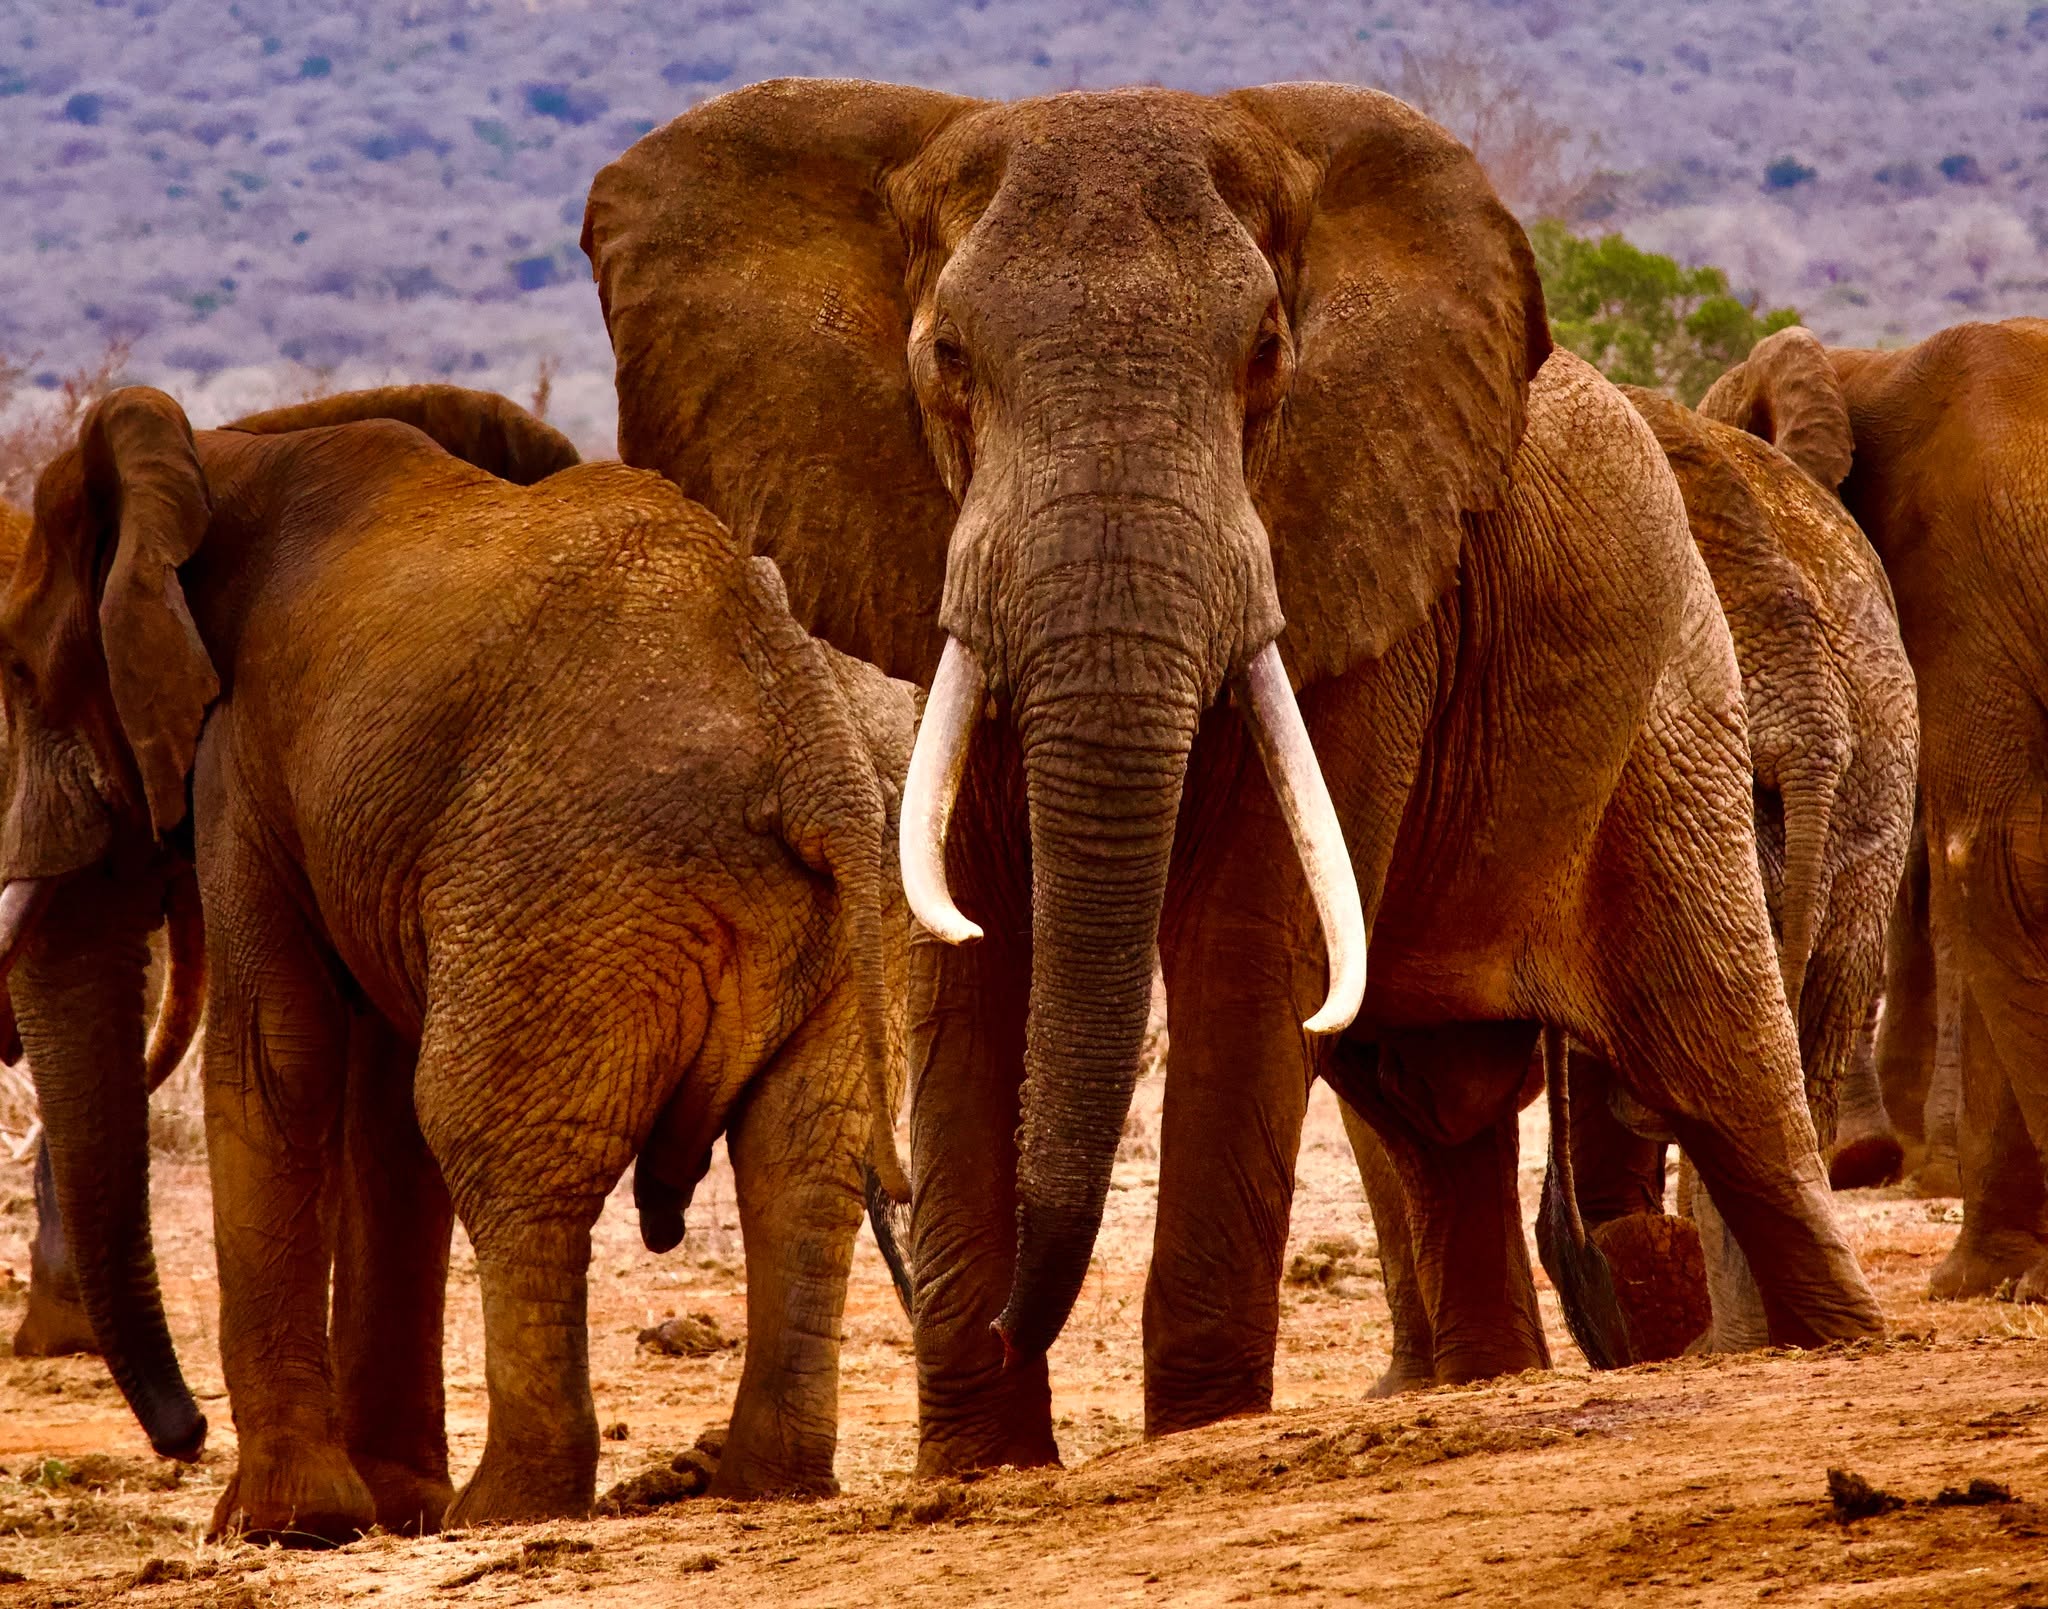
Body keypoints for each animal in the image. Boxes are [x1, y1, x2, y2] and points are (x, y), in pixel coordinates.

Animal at [0, 383, 917, 1540]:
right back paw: (762, 1482)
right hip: (854, 895)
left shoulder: (240, 757)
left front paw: (284, 1524)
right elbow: (377, 1106)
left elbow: (279, 1060)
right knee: (803, 1159)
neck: (220, 454)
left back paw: (505, 1507)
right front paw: (383, 1507)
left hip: (571, 871)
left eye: (18, 674)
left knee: (500, 1144)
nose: (184, 1438)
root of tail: (805, 736)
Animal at [583, 76, 1882, 1472]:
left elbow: (1246, 948)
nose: (1004, 1321)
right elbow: (967, 948)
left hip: (1673, 724)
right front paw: (981, 1463)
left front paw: (1198, 1429)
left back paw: (1839, 1345)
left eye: (1265, 354)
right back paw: (1492, 1380)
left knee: (1720, 1065)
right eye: (945, 362)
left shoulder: (1359, 569)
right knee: (1435, 1108)